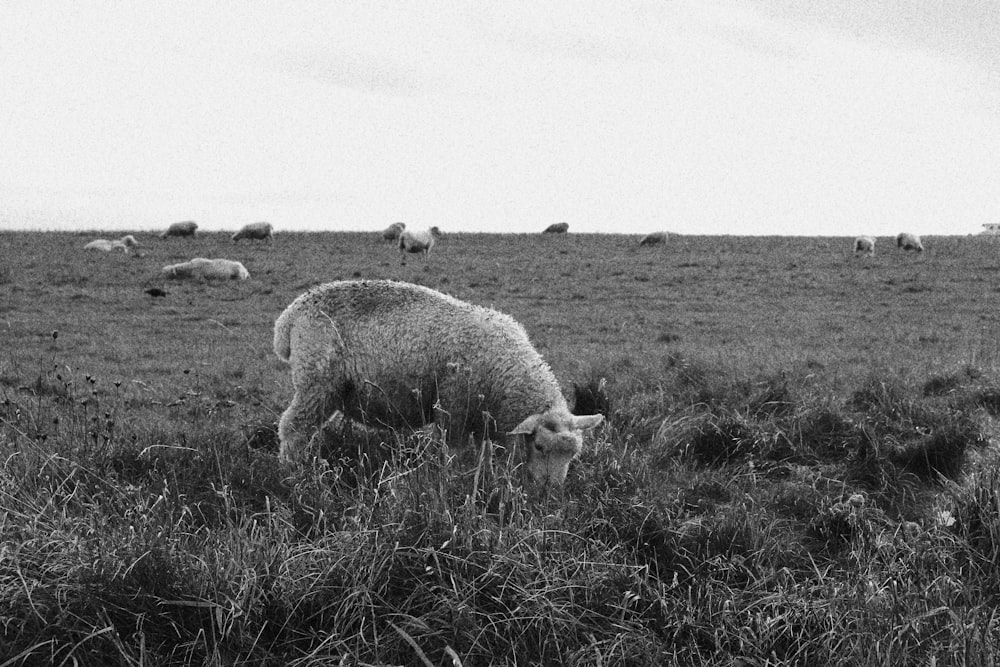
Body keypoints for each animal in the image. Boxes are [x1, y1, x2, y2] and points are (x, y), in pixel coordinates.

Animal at [270, 280, 604, 486]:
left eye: (573, 455)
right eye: (538, 446)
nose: (550, 490)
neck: (504, 371)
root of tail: (290, 315)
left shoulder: (481, 416)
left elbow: (483, 455)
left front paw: (484, 478)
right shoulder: (453, 406)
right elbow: (455, 451)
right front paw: (454, 480)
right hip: (316, 380)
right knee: (293, 427)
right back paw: (291, 473)